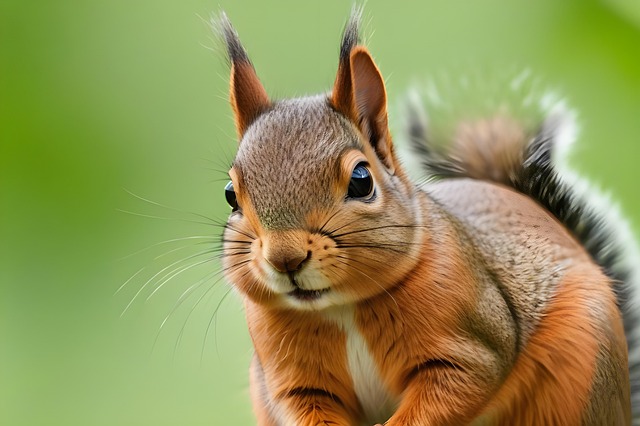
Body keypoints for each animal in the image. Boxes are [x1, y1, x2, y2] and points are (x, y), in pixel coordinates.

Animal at [217, 8, 639, 426]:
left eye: (361, 180)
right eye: (230, 195)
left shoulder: (471, 344)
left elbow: (452, 388)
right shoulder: (294, 383)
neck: (340, 307)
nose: (285, 259)